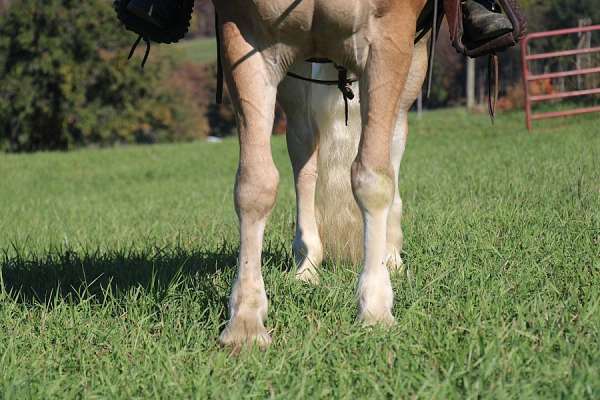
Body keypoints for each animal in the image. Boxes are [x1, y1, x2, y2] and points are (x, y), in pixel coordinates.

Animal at [214, 0, 432, 346]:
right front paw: (245, 321)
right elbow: (255, 185)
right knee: (304, 148)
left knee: (394, 136)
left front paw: (375, 307)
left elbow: (373, 179)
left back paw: (390, 253)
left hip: (414, 56)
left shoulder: (389, 35)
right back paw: (307, 265)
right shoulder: (246, 37)